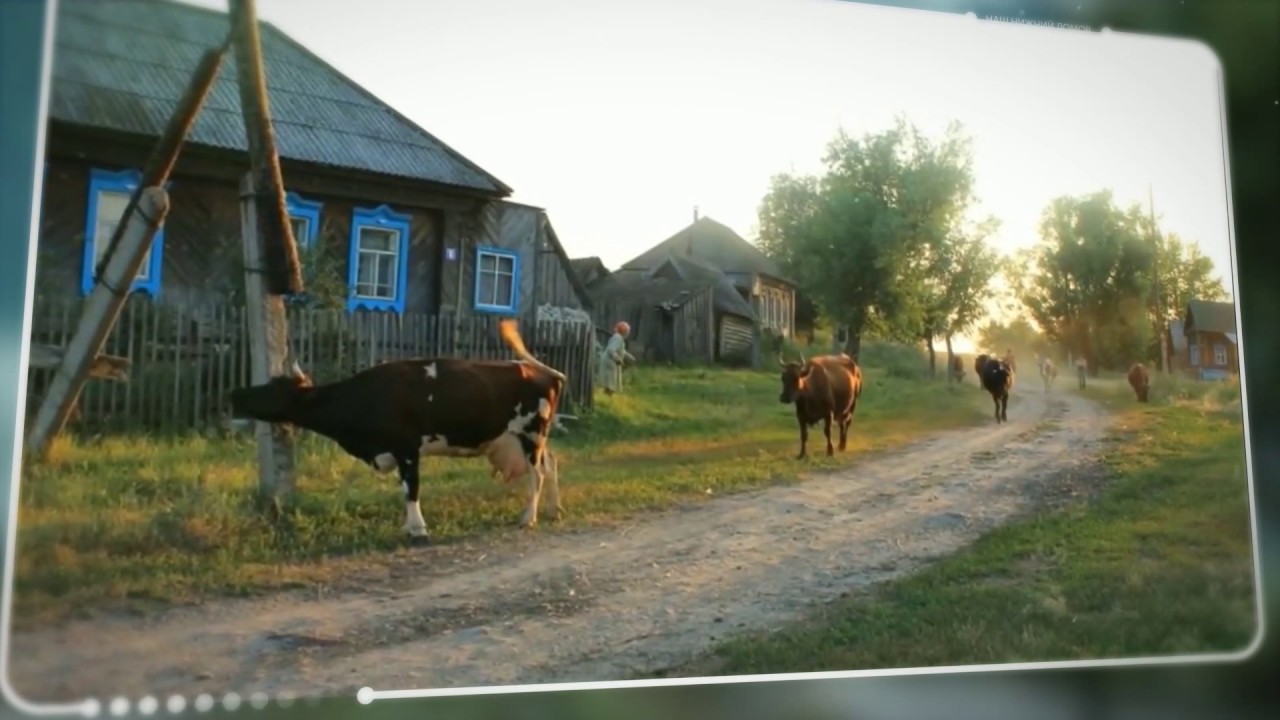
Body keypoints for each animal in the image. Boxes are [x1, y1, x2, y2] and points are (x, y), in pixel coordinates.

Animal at [229, 316, 565, 540]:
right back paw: (554, 510)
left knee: (537, 474)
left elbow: (411, 488)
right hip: (528, 439)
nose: (236, 393)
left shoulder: (406, 448)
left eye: (274, 389)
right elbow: (404, 489)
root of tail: (545, 372)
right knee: (551, 464)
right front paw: (409, 525)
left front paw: (417, 529)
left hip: (531, 434)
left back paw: (528, 518)